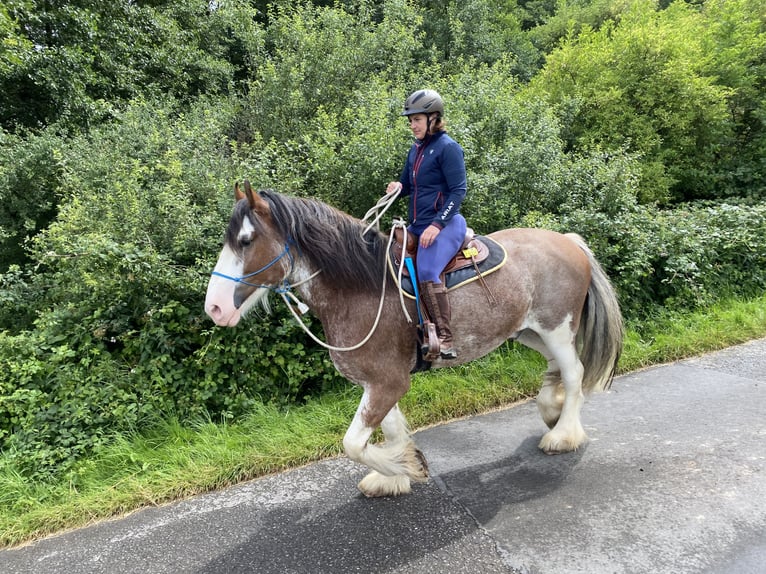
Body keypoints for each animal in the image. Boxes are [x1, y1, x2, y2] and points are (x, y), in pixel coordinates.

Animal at [204, 183, 624, 500]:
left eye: (246, 240)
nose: (214, 307)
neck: (359, 287)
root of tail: (568, 240)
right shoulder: (378, 382)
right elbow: (387, 429)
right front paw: (393, 476)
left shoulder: (388, 382)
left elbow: (353, 443)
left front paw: (407, 466)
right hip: (529, 331)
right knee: (557, 368)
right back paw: (552, 410)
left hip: (556, 327)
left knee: (574, 372)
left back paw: (563, 435)